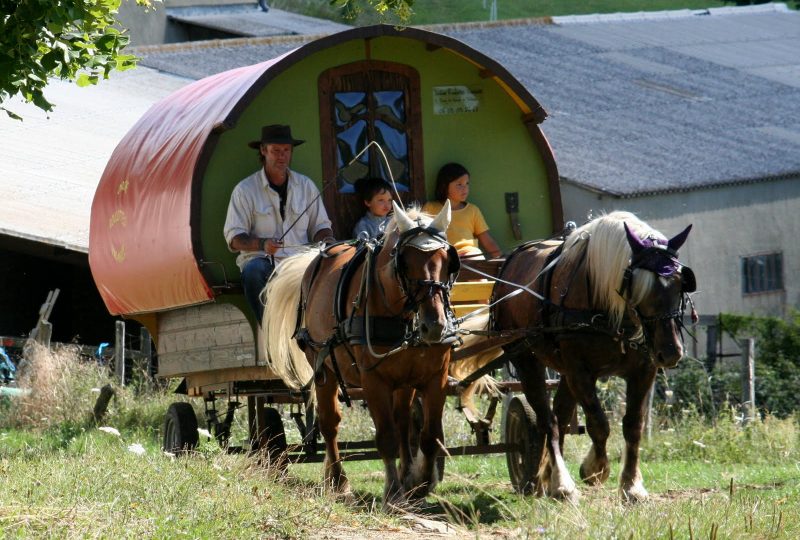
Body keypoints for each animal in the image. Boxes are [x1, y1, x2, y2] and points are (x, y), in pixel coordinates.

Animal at [262, 200, 460, 508]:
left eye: (448, 261)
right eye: (405, 263)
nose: (434, 325)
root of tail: (315, 259)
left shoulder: (435, 377)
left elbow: (429, 436)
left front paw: (420, 483)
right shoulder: (373, 380)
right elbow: (387, 437)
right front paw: (393, 491)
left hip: (403, 382)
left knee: (403, 421)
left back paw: (405, 473)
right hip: (323, 368)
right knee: (330, 424)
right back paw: (337, 481)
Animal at [490, 210, 696, 502]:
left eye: (680, 284)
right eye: (639, 287)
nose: (670, 352)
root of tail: (510, 262)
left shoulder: (644, 370)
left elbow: (633, 425)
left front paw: (632, 485)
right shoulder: (580, 371)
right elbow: (599, 423)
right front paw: (594, 469)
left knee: (560, 414)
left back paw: (550, 479)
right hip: (526, 359)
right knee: (548, 420)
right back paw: (561, 483)